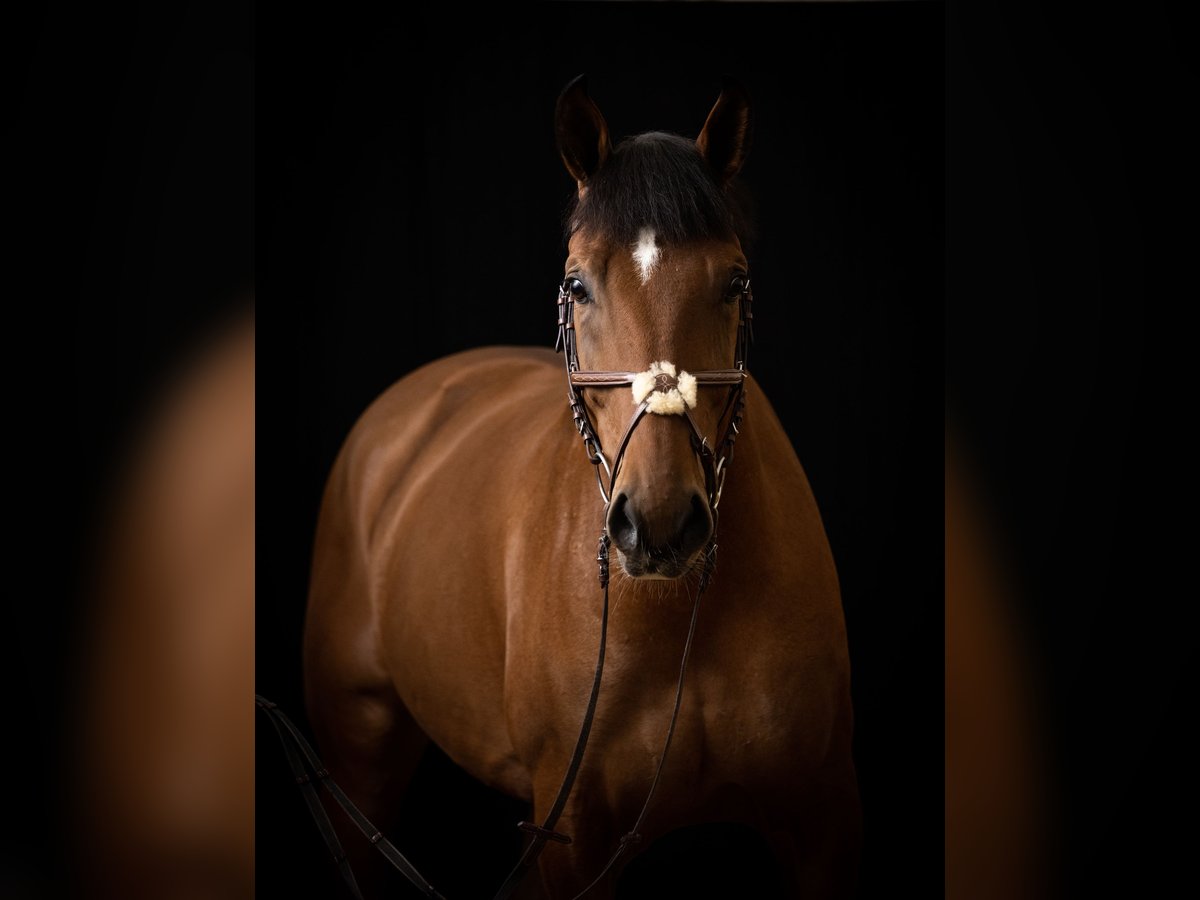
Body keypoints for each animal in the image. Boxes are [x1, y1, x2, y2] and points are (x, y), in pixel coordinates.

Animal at [304, 77, 859, 900]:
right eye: (577, 284)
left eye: (733, 281)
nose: (659, 524)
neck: (679, 617)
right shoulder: (570, 837)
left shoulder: (821, 821)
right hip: (358, 758)